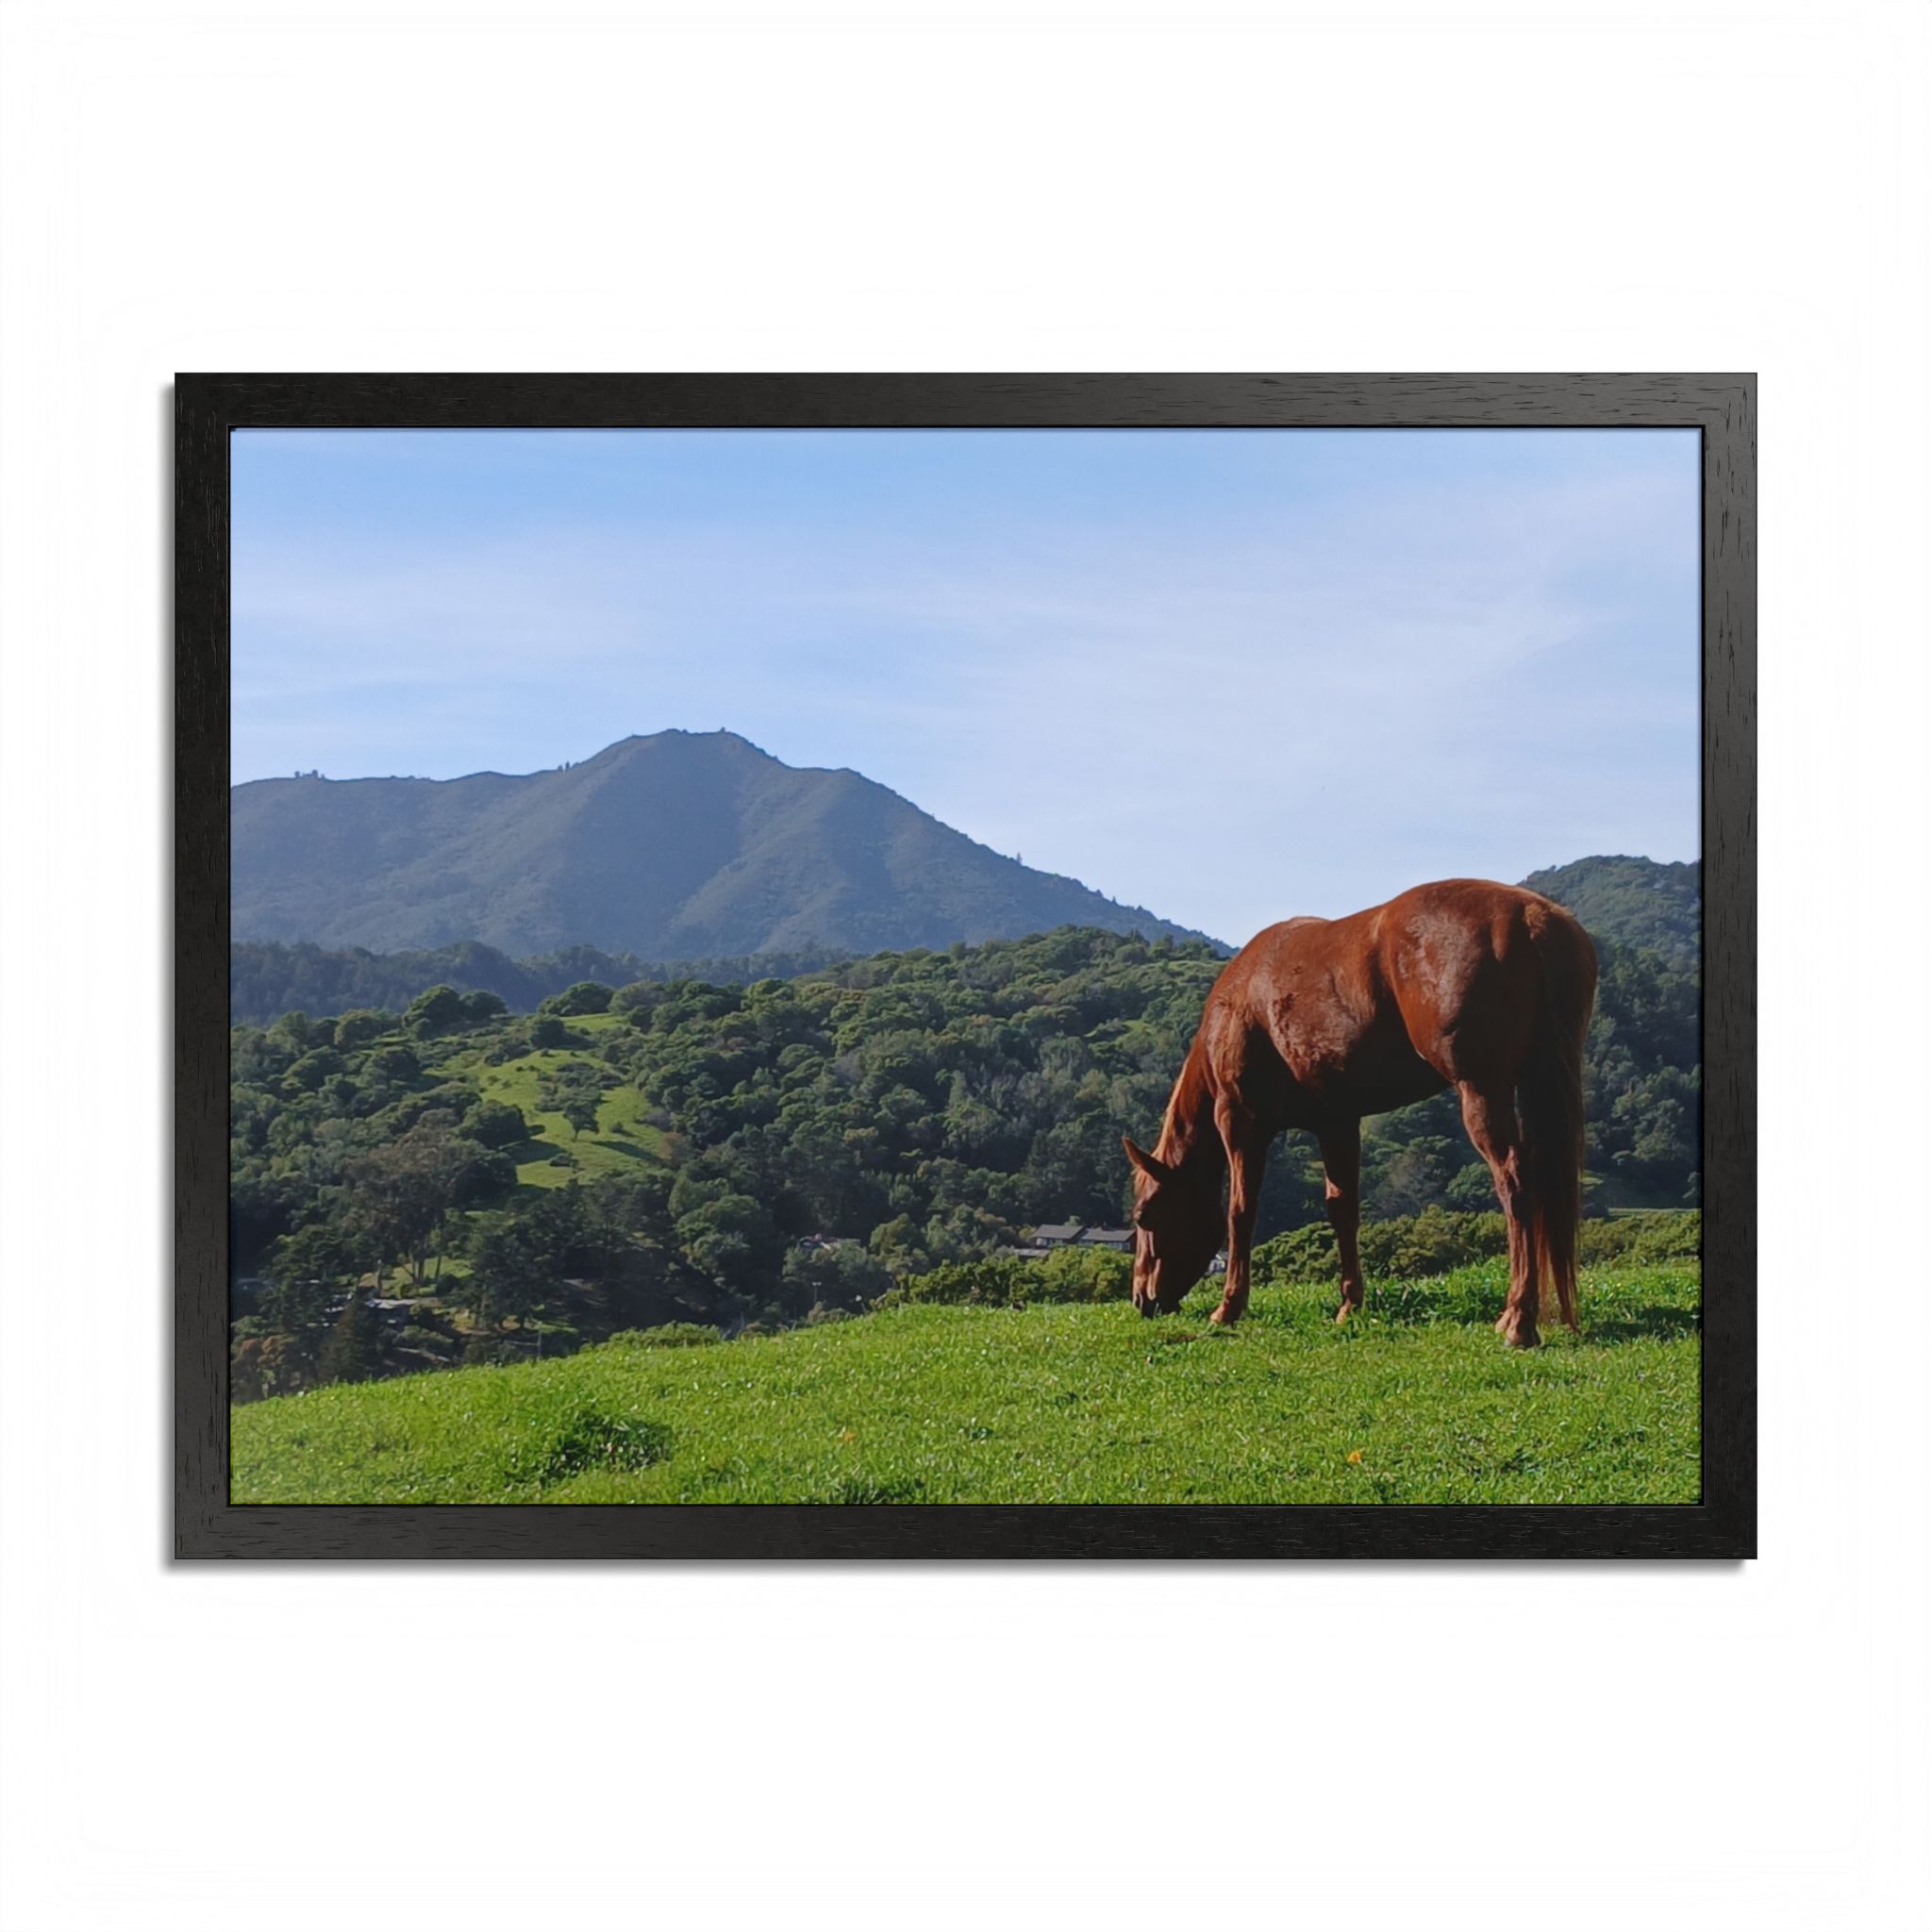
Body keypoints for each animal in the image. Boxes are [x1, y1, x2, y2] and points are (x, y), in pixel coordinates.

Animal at [1123, 879, 1597, 1348]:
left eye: (1144, 1216)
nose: (1142, 1300)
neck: (1239, 1002)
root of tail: (1530, 916)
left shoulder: (1241, 1120)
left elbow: (1241, 1212)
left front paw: (1228, 1307)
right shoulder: (1336, 1121)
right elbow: (1343, 1209)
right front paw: (1350, 1303)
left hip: (1481, 1090)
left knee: (1514, 1181)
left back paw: (1518, 1319)